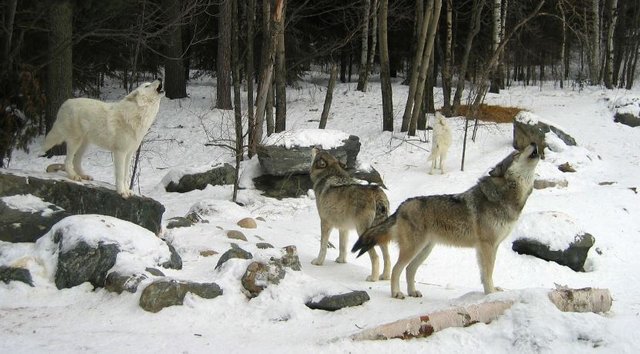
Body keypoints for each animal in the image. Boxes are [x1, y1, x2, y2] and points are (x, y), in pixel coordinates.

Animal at [308, 149, 392, 282]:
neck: (329, 174)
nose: (314, 146)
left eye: (319, 152)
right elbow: (342, 246)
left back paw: (373, 278)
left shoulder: (325, 223)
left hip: (362, 233)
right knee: (388, 257)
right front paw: (341, 261)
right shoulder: (343, 228)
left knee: (376, 257)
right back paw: (385, 276)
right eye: (323, 151)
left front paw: (318, 262)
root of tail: (376, 192)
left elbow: (323, 246)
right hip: (379, 234)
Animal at [352, 144, 544, 298]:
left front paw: (490, 291)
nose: (534, 143)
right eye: (516, 153)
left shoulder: (489, 247)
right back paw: (397, 293)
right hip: (412, 249)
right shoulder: (487, 246)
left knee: (409, 269)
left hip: (425, 250)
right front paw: (490, 294)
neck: (504, 196)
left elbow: (484, 274)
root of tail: (402, 206)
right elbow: (488, 272)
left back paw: (412, 292)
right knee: (396, 269)